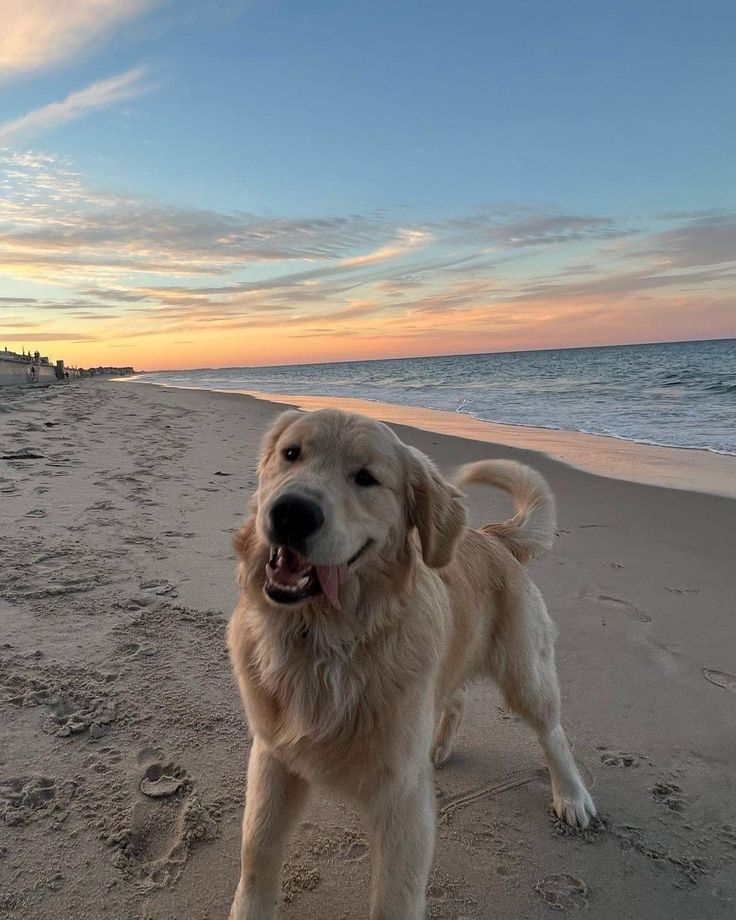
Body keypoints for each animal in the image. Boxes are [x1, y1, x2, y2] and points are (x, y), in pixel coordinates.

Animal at [229, 412, 600, 920]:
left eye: (366, 478)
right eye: (291, 454)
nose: (291, 513)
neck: (326, 639)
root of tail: (493, 536)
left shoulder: (402, 799)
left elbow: (394, 900)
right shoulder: (272, 758)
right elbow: (256, 855)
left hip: (526, 674)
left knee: (554, 734)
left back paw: (572, 797)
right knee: (456, 698)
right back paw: (440, 746)